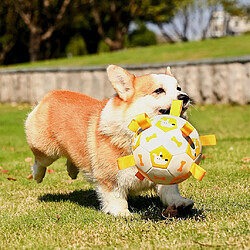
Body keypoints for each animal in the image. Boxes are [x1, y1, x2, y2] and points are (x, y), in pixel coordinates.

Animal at [25, 65, 193, 216]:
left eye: (178, 88)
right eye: (158, 90)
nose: (185, 97)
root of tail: (51, 93)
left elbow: (170, 190)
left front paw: (180, 202)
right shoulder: (109, 178)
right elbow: (115, 196)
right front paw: (122, 212)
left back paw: (72, 171)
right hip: (46, 150)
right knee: (39, 161)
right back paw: (37, 175)